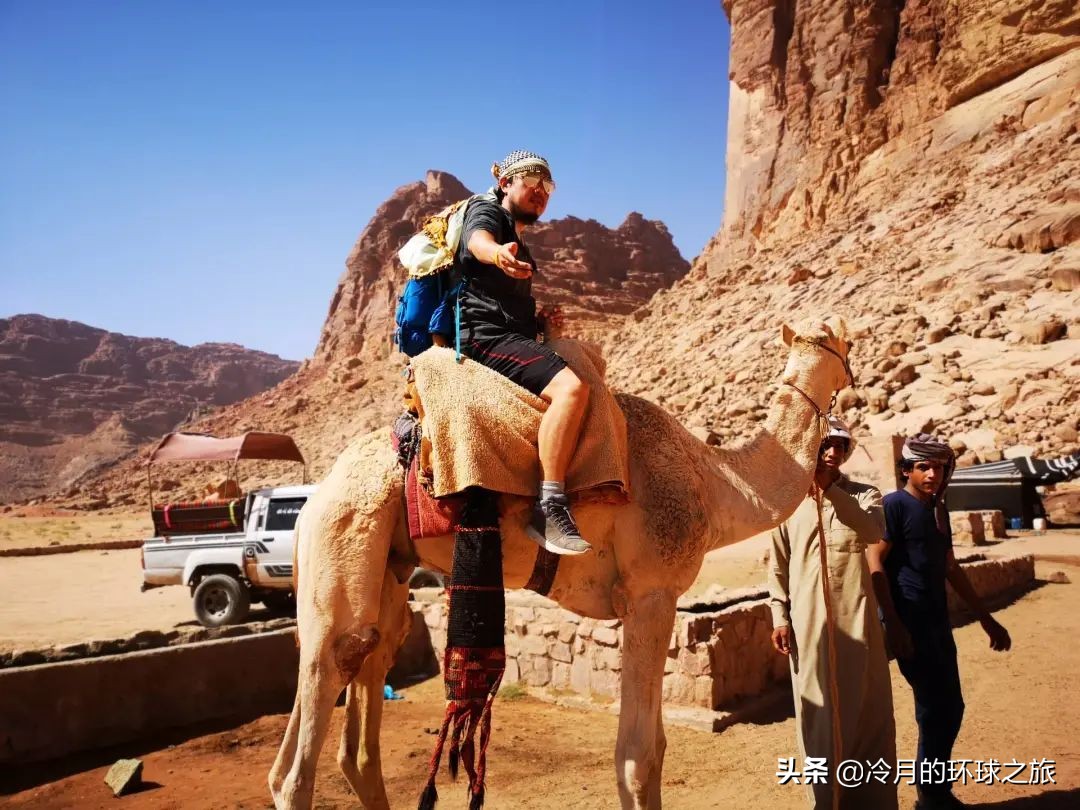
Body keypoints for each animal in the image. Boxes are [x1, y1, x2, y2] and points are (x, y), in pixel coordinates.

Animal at [267, 317, 851, 810]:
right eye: (838, 342)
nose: (852, 367)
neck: (716, 481)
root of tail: (313, 501)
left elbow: (653, 747)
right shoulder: (652, 593)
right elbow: (639, 756)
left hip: (389, 570)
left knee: (363, 705)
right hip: (344, 540)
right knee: (304, 740)